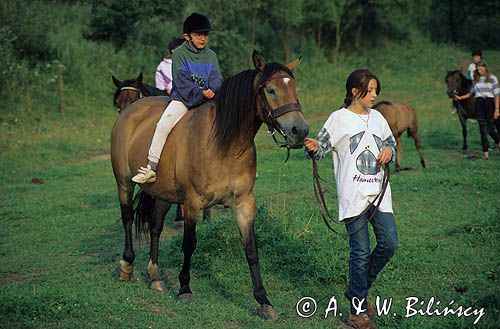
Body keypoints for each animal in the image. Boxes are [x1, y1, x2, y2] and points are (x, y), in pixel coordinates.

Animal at [110, 51, 308, 318]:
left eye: (295, 89)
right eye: (271, 90)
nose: (300, 130)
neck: (225, 144)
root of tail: (130, 111)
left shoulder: (245, 203)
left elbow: (251, 249)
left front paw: (263, 300)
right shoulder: (193, 203)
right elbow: (189, 244)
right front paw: (184, 288)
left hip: (164, 193)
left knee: (155, 226)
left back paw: (155, 276)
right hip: (123, 183)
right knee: (128, 218)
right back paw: (127, 265)